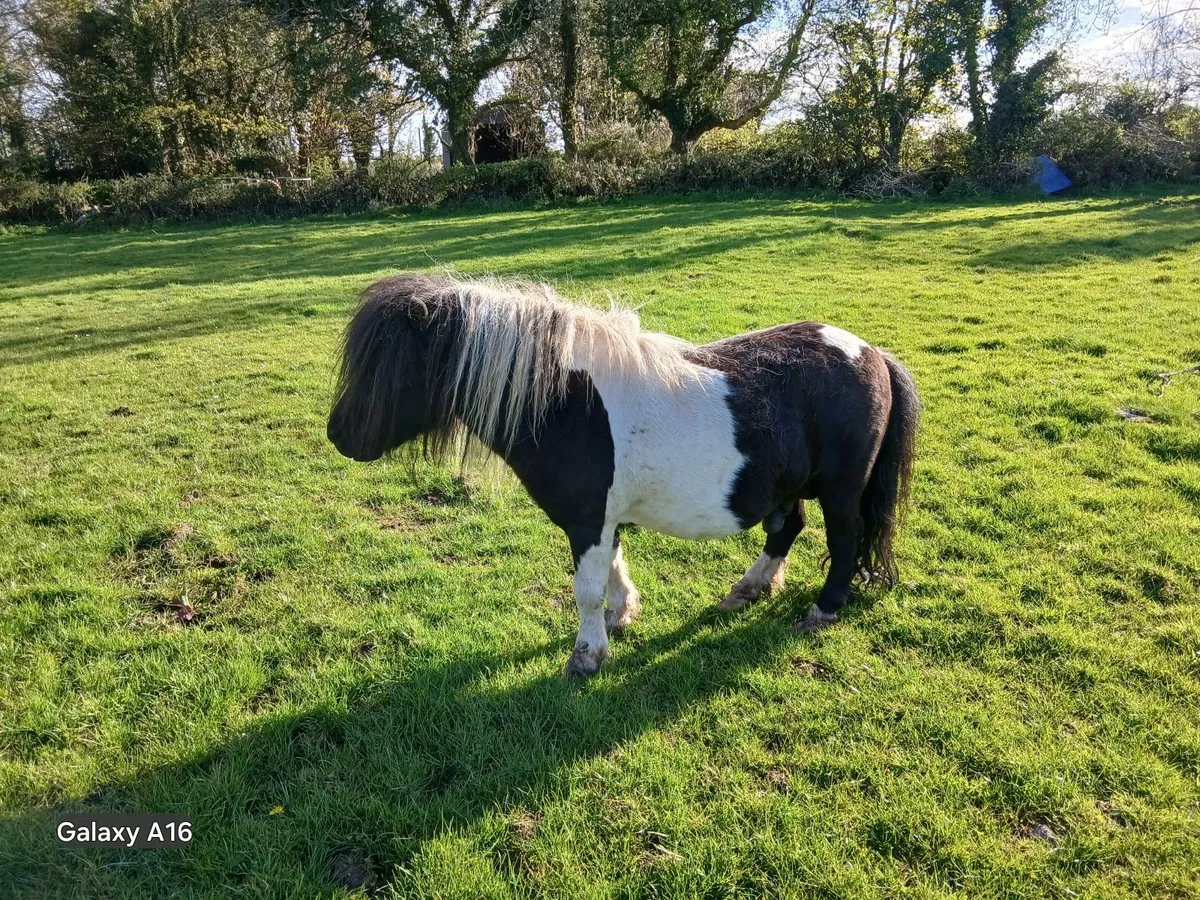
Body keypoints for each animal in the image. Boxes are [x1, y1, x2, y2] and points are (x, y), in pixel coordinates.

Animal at [327, 273, 919, 676]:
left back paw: (824, 609)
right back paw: (749, 589)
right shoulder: (602, 521)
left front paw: (587, 656)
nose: (339, 435)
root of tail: (872, 353)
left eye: (392, 367)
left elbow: (586, 589)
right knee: (787, 528)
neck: (566, 403)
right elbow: (612, 569)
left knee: (844, 542)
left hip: (842, 490)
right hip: (786, 486)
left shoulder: (587, 520)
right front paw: (621, 616)